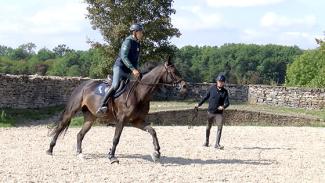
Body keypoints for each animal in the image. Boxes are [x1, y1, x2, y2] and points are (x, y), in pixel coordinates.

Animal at [46, 56, 186, 164]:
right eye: (173, 72)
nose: (184, 86)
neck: (139, 93)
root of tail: (83, 85)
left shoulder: (137, 121)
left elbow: (152, 131)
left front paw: (156, 153)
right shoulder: (122, 120)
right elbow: (116, 138)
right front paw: (112, 157)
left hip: (90, 117)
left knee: (80, 134)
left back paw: (80, 154)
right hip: (72, 111)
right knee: (60, 127)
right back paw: (50, 150)